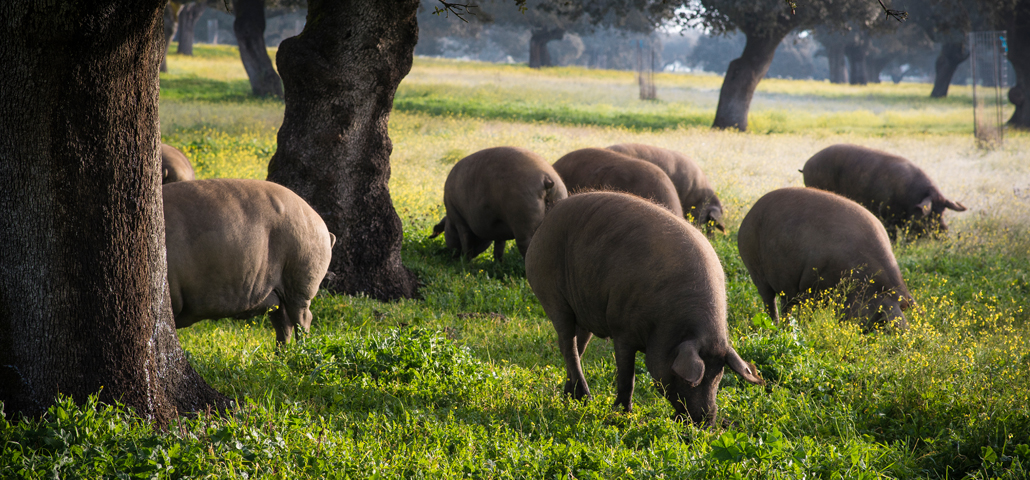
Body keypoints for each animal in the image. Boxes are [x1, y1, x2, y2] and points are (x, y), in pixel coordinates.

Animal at [163, 178, 335, 345]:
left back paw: (302, 349)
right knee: (283, 323)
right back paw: (282, 353)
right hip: (278, 292)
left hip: (301, 280)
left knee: (303, 318)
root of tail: (324, 227)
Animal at [430, 146, 567, 261]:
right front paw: (497, 264)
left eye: (445, 230)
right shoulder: (499, 230)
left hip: (524, 220)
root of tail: (547, 179)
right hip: (557, 199)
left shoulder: (460, 220)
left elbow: (466, 242)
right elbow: (499, 247)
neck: (450, 219)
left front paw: (465, 263)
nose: (453, 256)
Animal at [525, 191, 764, 426]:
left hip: (583, 313)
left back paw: (570, 398)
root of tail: (544, 225)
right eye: (691, 381)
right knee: (568, 345)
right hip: (552, 295)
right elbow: (627, 376)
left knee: (578, 347)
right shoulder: (622, 330)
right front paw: (622, 416)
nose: (708, 421)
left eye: (719, 375)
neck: (668, 325)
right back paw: (586, 399)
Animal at [737, 187, 913, 331]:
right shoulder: (809, 286)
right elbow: (806, 312)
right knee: (769, 300)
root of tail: (749, 213)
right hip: (754, 265)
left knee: (786, 304)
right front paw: (804, 329)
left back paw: (785, 329)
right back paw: (774, 326)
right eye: (879, 317)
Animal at [801, 143, 966, 239]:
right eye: (931, 214)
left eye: (943, 211)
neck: (911, 199)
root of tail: (807, 163)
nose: (944, 233)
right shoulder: (888, 217)